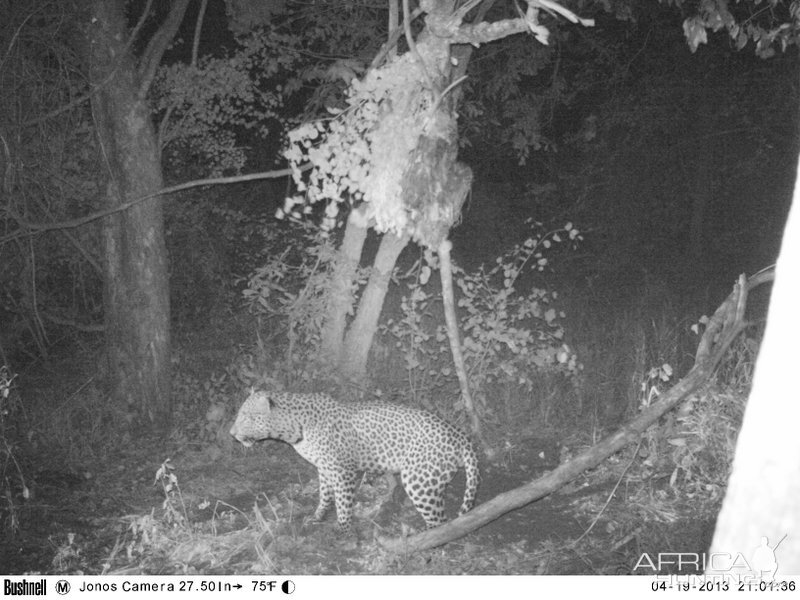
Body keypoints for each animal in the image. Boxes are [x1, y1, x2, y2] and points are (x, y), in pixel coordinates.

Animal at [231, 392, 482, 532]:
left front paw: (342, 529)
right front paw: (317, 516)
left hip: (418, 480)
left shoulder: (343, 470)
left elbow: (343, 501)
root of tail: (461, 436)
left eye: (246, 417)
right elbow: (325, 495)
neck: (295, 430)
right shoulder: (325, 468)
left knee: (440, 520)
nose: (231, 433)